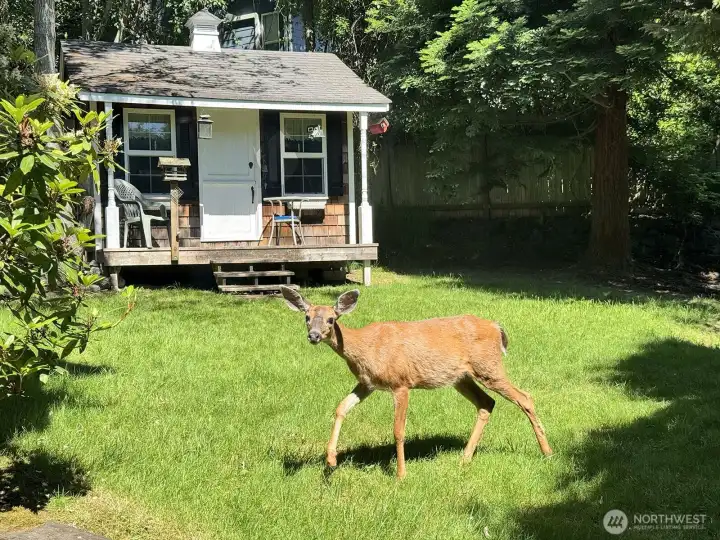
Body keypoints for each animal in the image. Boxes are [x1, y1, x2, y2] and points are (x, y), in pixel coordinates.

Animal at [279, 286, 552, 479]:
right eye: (306, 317)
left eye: (331, 320)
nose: (314, 336)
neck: (365, 347)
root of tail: (497, 327)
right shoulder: (367, 384)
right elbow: (340, 408)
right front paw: (331, 460)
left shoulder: (401, 382)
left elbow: (398, 430)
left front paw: (401, 474)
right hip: (462, 377)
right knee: (487, 403)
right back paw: (465, 458)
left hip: (488, 366)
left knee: (524, 397)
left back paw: (547, 451)